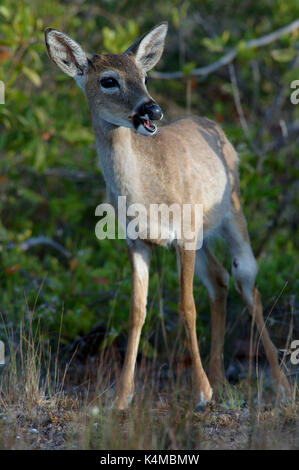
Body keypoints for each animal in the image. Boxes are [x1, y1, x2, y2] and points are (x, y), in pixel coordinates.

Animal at [45, 21, 292, 408]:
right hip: (203, 236)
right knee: (219, 279)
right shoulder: (136, 242)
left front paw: (200, 392)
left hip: (232, 214)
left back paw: (279, 387)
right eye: (109, 80)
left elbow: (186, 306)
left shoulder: (184, 235)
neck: (144, 194)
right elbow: (137, 312)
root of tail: (214, 125)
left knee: (247, 283)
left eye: (145, 76)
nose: (153, 110)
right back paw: (220, 378)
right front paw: (122, 396)